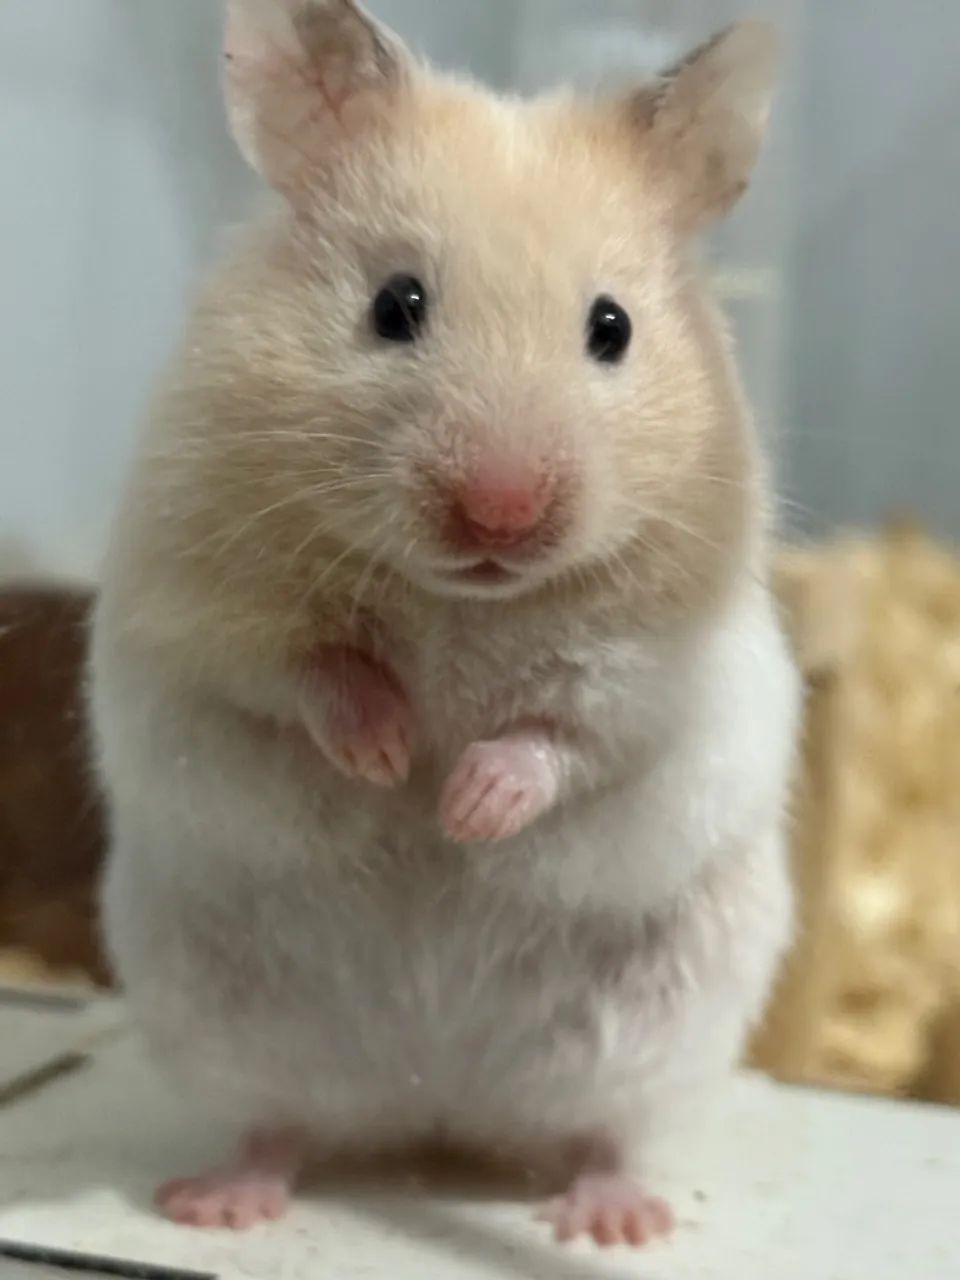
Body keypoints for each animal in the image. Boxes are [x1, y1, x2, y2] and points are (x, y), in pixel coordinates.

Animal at [89, 0, 799, 1248]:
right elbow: (307, 670)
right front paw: (385, 756)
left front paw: (463, 808)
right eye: (395, 305)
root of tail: (436, 1107)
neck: (466, 599)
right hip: (218, 1015)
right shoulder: (197, 607)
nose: (502, 511)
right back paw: (219, 1201)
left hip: (661, 1027)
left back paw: (612, 1218)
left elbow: (565, 735)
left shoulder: (656, 678)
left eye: (611, 326)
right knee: (280, 1125)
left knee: (606, 1133)